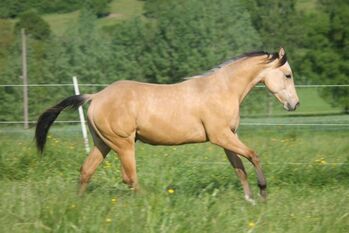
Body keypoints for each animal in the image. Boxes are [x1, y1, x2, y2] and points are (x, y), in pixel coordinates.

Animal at [35, 47, 300, 202]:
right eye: (287, 75)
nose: (295, 104)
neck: (223, 89)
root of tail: (96, 96)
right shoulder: (221, 136)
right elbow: (253, 155)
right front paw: (263, 192)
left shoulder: (228, 137)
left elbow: (239, 168)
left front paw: (250, 200)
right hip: (123, 144)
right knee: (129, 178)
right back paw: (151, 201)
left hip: (104, 143)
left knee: (86, 171)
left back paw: (78, 204)